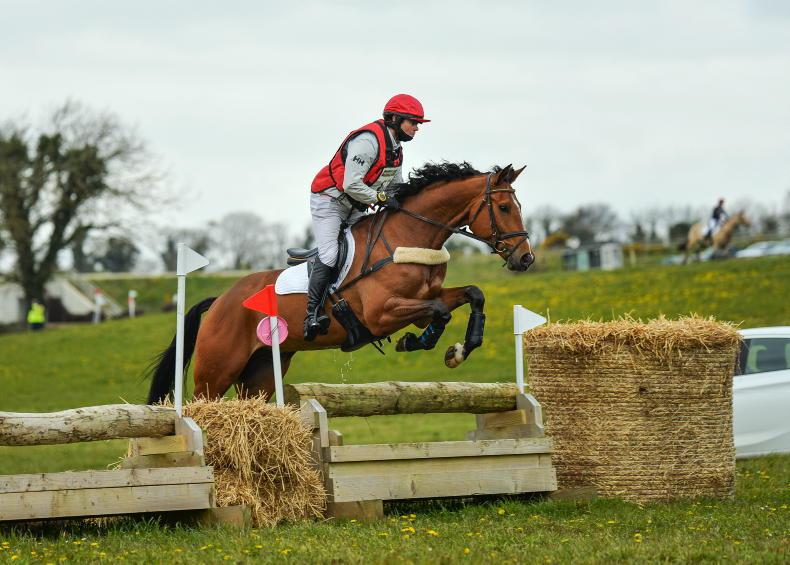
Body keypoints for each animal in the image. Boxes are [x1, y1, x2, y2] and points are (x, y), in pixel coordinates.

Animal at [146, 162, 535, 404]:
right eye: (503, 208)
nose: (525, 259)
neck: (409, 236)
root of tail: (221, 301)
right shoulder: (381, 314)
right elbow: (440, 311)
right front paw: (417, 342)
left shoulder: (423, 300)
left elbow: (471, 295)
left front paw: (458, 350)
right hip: (216, 371)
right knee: (202, 404)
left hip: (262, 371)